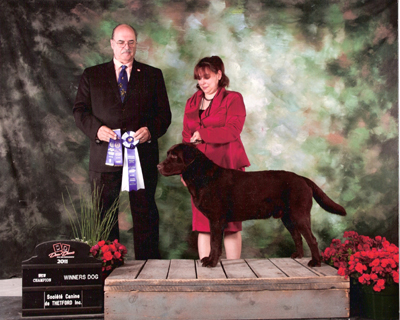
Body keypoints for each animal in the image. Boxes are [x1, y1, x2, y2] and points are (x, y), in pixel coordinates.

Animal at [158, 143, 346, 268]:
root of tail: (303, 178)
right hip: (288, 217)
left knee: (311, 239)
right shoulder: (214, 220)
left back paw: (315, 262)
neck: (203, 176)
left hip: (299, 215)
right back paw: (297, 256)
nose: (158, 166)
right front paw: (209, 260)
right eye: (168, 154)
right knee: (298, 237)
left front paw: (211, 262)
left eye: (174, 156)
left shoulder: (217, 220)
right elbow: (213, 243)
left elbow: (214, 243)